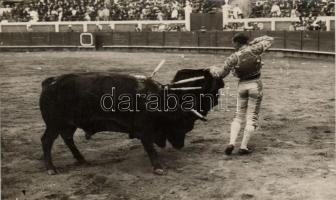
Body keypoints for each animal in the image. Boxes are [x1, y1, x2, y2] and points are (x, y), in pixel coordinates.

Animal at [39, 69, 223, 175]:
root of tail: (51, 82)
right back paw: (51, 168)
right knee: (47, 140)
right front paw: (158, 167)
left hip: (68, 124)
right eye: (181, 124)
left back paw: (81, 159)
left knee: (67, 137)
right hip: (54, 124)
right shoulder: (145, 130)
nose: (180, 145)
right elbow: (150, 148)